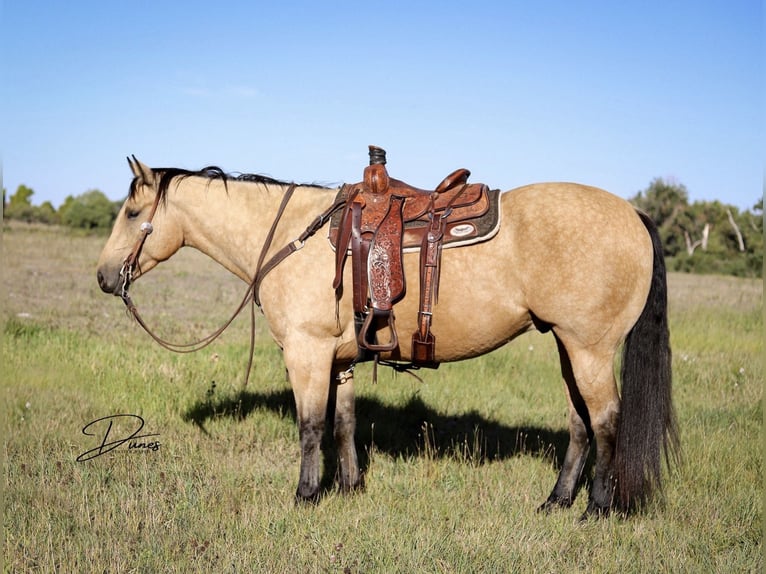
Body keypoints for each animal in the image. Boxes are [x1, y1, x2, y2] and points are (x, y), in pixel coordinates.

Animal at [96, 155, 680, 520]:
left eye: (133, 213)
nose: (103, 277)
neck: (293, 237)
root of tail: (633, 213)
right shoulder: (340, 360)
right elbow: (344, 424)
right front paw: (349, 489)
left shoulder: (307, 354)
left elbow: (311, 427)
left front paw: (305, 496)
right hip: (566, 345)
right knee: (580, 423)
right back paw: (556, 502)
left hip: (589, 349)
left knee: (606, 423)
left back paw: (597, 508)